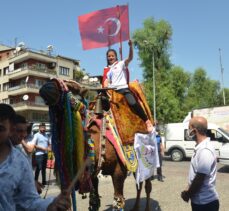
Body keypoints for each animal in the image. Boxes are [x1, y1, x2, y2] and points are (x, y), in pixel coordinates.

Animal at [39, 78, 156, 211]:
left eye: (69, 87)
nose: (45, 88)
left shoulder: (119, 171)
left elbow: (118, 201)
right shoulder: (93, 174)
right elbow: (94, 201)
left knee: (147, 185)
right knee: (139, 184)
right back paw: (136, 207)